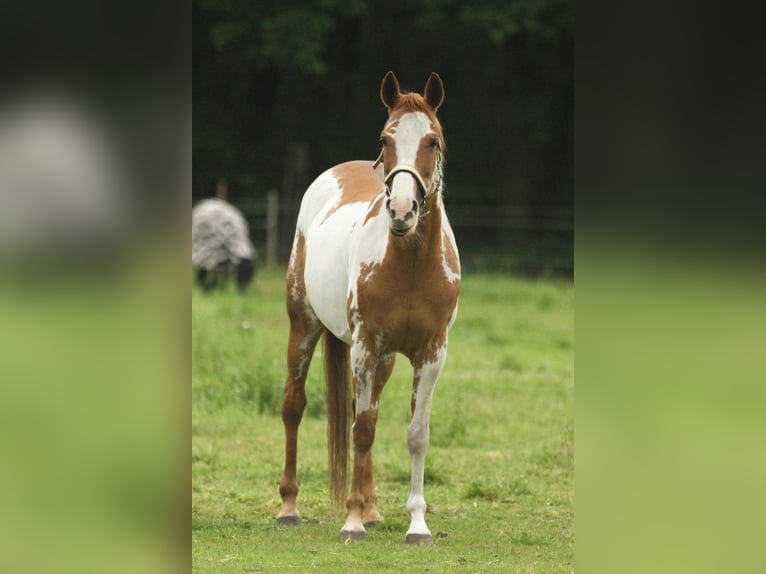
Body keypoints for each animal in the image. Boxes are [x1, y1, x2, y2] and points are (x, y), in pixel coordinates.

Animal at [278, 71, 462, 544]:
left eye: (433, 141)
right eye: (386, 139)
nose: (401, 211)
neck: (410, 264)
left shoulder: (432, 354)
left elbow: (416, 435)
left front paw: (416, 525)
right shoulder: (363, 347)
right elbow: (360, 432)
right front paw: (352, 522)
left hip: (384, 360)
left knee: (370, 411)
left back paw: (375, 509)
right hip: (304, 325)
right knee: (294, 405)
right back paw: (290, 507)